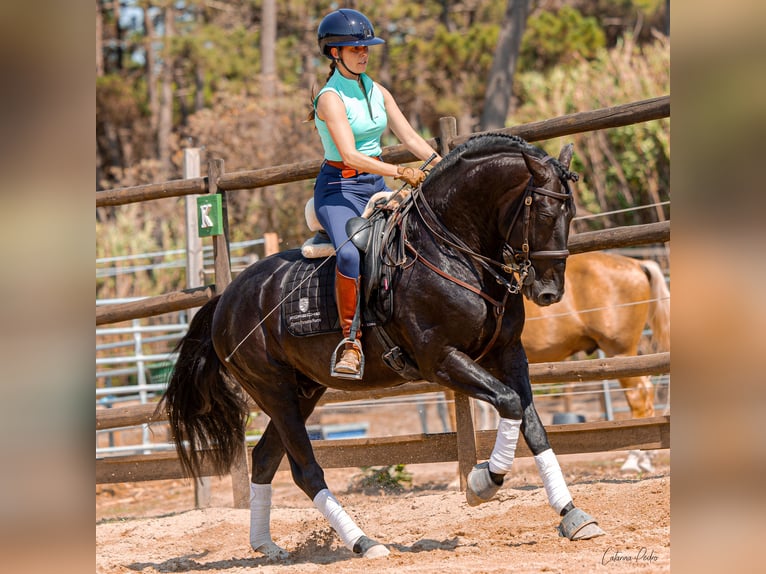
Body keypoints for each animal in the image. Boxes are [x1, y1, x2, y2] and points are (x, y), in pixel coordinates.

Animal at [160, 133, 608, 560]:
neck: (452, 250)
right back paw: (363, 542)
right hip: (274, 391)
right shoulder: (441, 360)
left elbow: (533, 424)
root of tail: (227, 297)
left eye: (571, 215)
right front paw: (483, 482)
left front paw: (573, 516)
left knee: (266, 458)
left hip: (302, 391)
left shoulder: (509, 353)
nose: (549, 292)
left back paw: (266, 546)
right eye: (546, 215)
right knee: (305, 471)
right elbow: (510, 403)